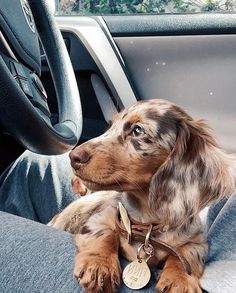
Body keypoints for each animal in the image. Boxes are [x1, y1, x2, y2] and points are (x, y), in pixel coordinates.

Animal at [48, 98, 236, 292]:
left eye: (137, 130)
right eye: (110, 125)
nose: (73, 157)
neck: (146, 224)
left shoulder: (197, 241)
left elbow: (186, 254)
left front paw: (180, 279)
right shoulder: (98, 218)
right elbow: (104, 233)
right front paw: (100, 265)